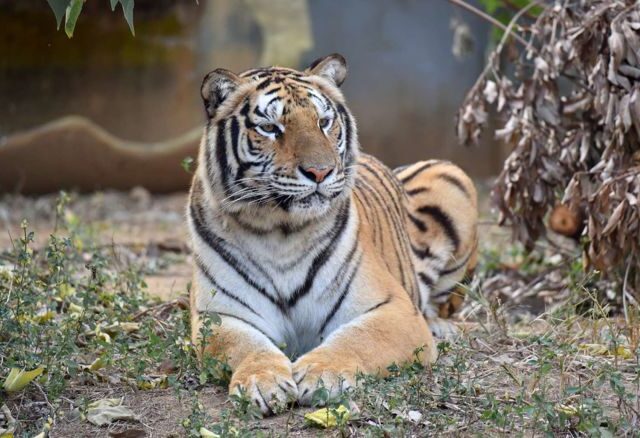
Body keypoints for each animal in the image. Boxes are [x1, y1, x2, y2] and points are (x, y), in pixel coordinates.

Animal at [187, 53, 478, 415]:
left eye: (324, 122)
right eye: (270, 128)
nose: (320, 172)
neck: (279, 231)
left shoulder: (394, 307)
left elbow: (359, 339)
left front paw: (321, 374)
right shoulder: (219, 315)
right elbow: (245, 346)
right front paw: (263, 381)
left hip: (453, 178)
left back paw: (441, 326)